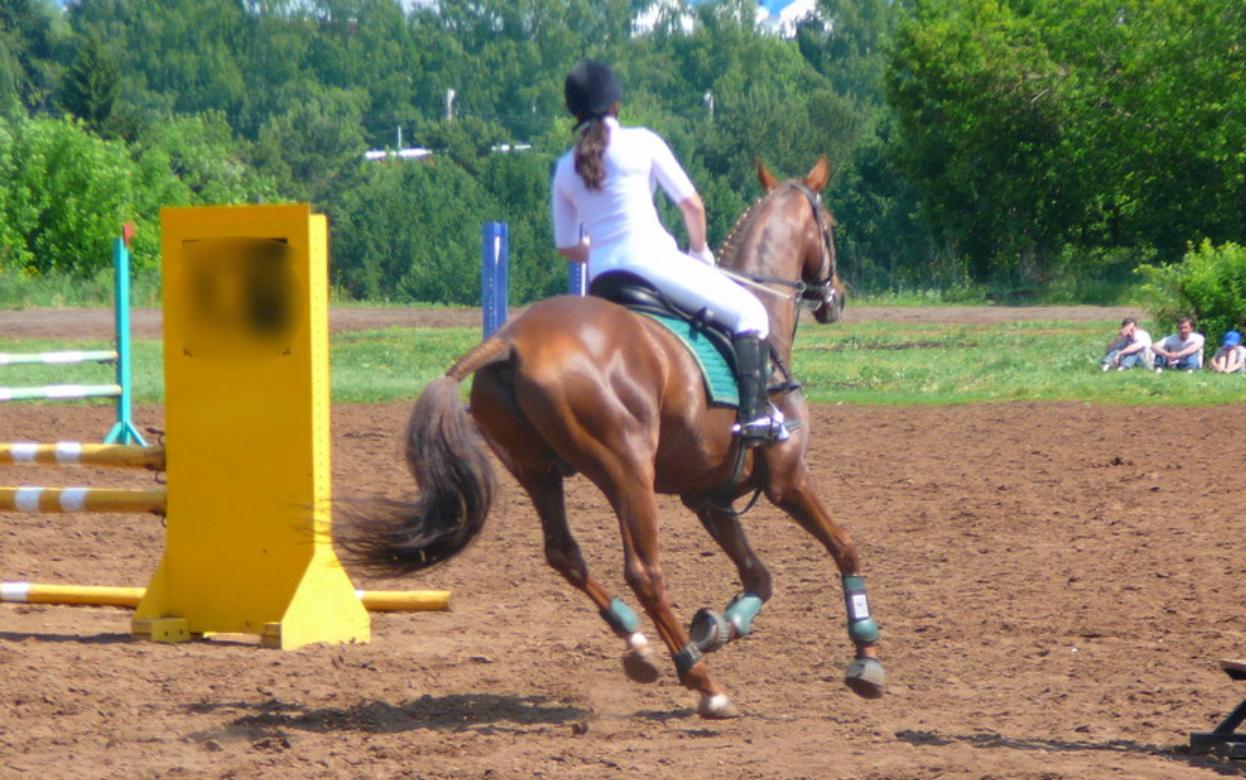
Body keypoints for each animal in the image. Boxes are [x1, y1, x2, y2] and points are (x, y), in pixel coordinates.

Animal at [338, 157, 884, 719]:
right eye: (831, 225)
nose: (837, 297)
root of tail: (510, 340)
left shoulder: (709, 497)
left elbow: (760, 576)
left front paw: (718, 626)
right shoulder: (786, 480)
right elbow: (845, 548)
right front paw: (864, 653)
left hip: (535, 471)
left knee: (564, 554)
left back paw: (639, 643)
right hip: (627, 472)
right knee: (644, 572)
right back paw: (702, 682)